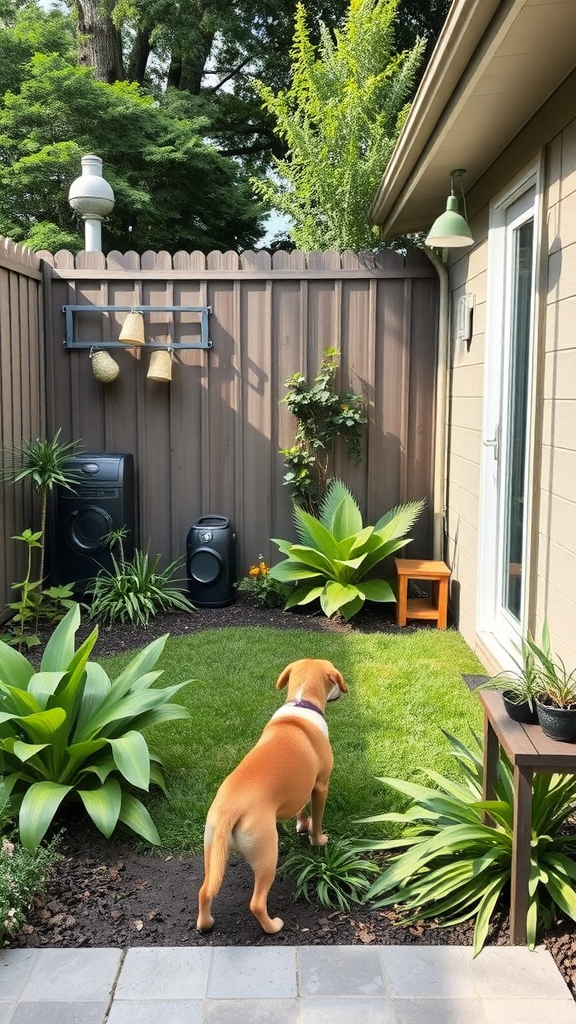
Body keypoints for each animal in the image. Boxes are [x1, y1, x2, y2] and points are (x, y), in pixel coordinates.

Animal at [195, 655, 344, 937]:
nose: (341, 693)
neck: (301, 703)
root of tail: (231, 809)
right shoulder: (320, 786)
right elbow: (317, 819)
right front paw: (317, 839)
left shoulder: (301, 788)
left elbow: (301, 810)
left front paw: (301, 825)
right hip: (267, 855)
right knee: (256, 902)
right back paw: (273, 926)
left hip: (211, 849)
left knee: (205, 891)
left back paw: (205, 923)